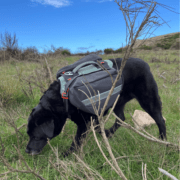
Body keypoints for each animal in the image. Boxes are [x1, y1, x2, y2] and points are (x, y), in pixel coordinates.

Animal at [25, 57, 166, 155]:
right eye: (28, 135)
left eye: (36, 136)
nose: (27, 150)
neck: (62, 96)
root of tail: (145, 63)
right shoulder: (93, 117)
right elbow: (97, 127)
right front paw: (103, 134)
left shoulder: (84, 123)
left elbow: (77, 141)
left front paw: (67, 154)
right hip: (117, 101)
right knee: (121, 118)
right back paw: (109, 133)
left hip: (147, 99)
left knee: (160, 120)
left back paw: (162, 140)